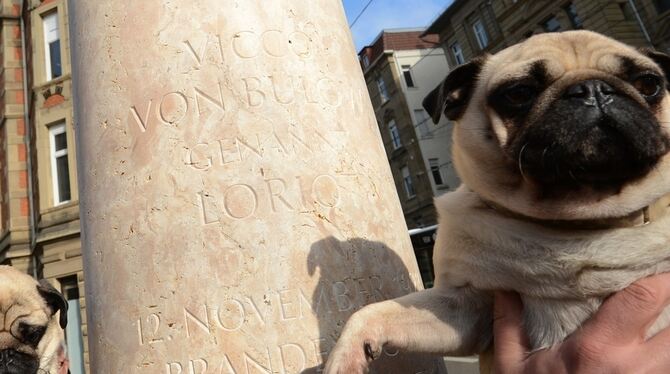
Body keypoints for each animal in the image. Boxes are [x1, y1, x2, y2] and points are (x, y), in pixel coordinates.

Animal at [326, 30, 670, 374]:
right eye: (519, 93)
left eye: (649, 83)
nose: (592, 89)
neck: (579, 221)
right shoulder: (466, 309)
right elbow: (373, 312)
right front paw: (345, 357)